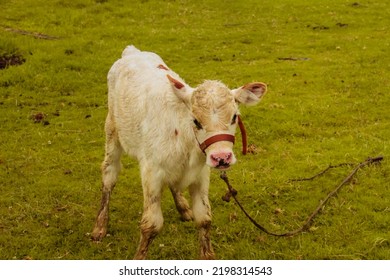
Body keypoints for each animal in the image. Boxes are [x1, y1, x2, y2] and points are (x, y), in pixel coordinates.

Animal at [92, 44, 268, 260]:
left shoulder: (201, 174)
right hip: (112, 131)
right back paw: (100, 226)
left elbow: (204, 218)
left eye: (234, 116)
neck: (185, 142)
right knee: (109, 174)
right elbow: (151, 224)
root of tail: (132, 52)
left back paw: (183, 208)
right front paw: (139, 257)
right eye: (196, 121)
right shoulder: (151, 172)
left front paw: (207, 254)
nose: (221, 158)